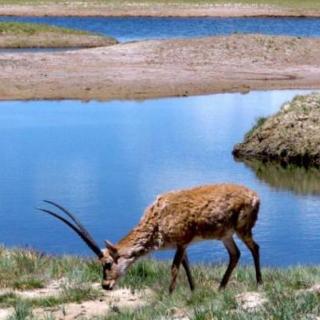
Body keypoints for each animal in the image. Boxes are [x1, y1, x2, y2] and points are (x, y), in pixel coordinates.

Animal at [38, 184, 262, 294]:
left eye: (107, 263)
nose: (105, 285)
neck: (157, 217)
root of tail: (255, 196)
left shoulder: (182, 242)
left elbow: (175, 267)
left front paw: (169, 294)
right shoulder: (182, 245)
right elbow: (186, 265)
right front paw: (193, 290)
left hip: (242, 229)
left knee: (255, 248)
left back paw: (259, 283)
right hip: (226, 235)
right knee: (235, 254)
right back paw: (220, 288)